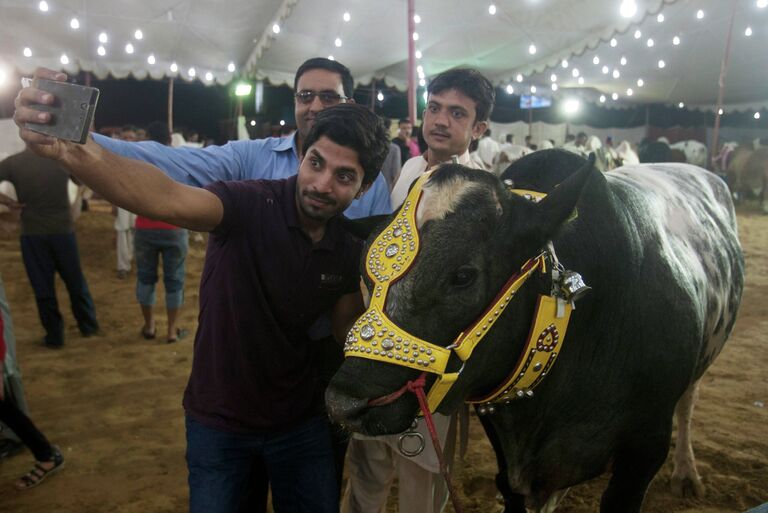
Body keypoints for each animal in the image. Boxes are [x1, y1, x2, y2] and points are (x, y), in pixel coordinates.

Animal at [326, 151, 744, 512]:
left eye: (463, 276)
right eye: (365, 274)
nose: (344, 403)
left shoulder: (645, 451)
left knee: (689, 404)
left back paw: (687, 473)